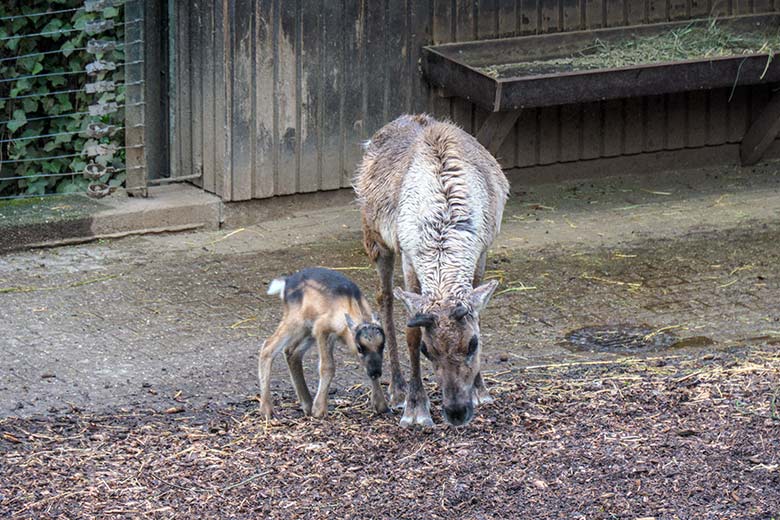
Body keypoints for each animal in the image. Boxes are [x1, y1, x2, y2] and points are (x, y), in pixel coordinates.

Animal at [258, 268, 388, 418]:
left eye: (382, 346)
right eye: (360, 347)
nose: (376, 372)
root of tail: (286, 282)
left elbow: (365, 365)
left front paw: (382, 405)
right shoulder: (322, 328)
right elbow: (327, 367)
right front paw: (319, 410)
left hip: (307, 330)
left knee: (291, 351)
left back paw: (307, 404)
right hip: (296, 321)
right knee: (268, 347)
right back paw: (267, 409)